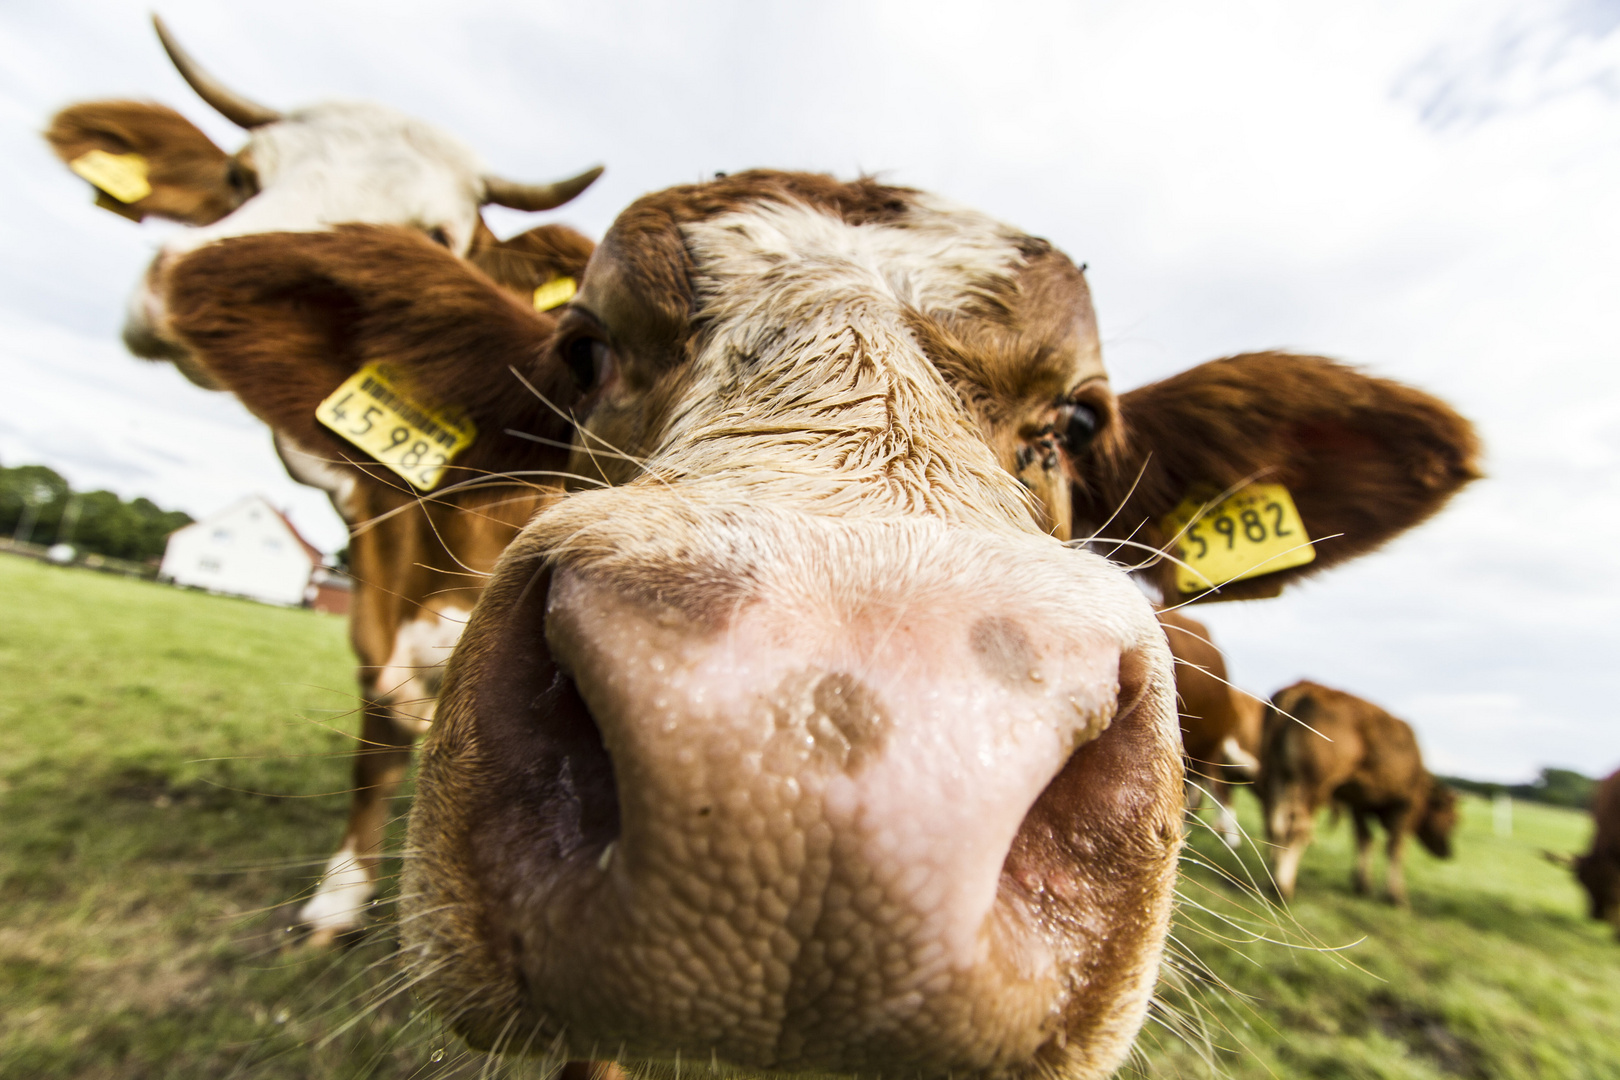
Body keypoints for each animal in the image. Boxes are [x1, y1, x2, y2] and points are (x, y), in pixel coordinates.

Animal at [47, 18, 604, 945]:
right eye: (241, 178)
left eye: (438, 240)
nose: (188, 283)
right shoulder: (373, 586)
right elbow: (376, 728)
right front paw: (340, 892)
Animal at [1258, 680, 1459, 904]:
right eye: (1453, 820)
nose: (1449, 853)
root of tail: (1305, 686)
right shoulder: (1405, 805)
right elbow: (1395, 848)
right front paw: (1396, 895)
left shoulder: (1359, 803)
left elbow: (1364, 839)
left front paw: (1362, 884)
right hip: (1314, 784)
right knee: (1297, 829)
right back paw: (1282, 887)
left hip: (1278, 774)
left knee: (1275, 824)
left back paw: (1271, 876)